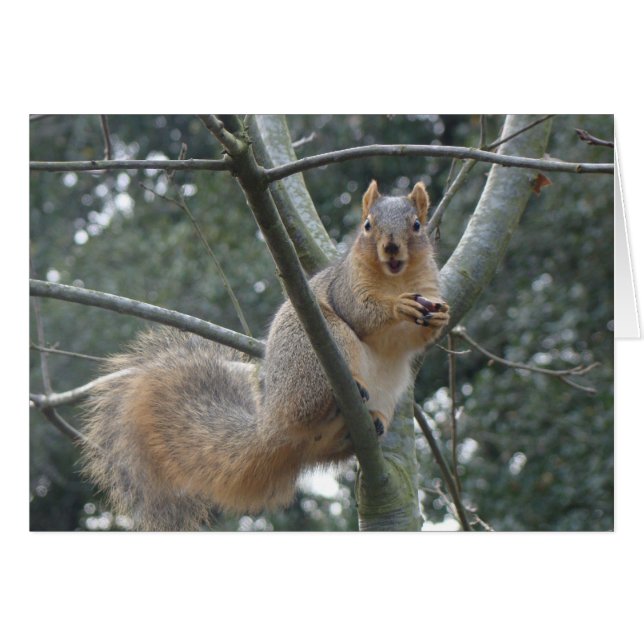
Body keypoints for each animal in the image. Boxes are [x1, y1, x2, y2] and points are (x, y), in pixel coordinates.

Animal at [81, 180, 450, 530]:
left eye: (417, 225)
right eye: (368, 225)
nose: (391, 247)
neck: (396, 278)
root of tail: (273, 422)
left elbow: (417, 339)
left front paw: (440, 319)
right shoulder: (345, 286)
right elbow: (361, 311)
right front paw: (397, 306)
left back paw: (371, 423)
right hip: (319, 348)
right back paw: (348, 392)